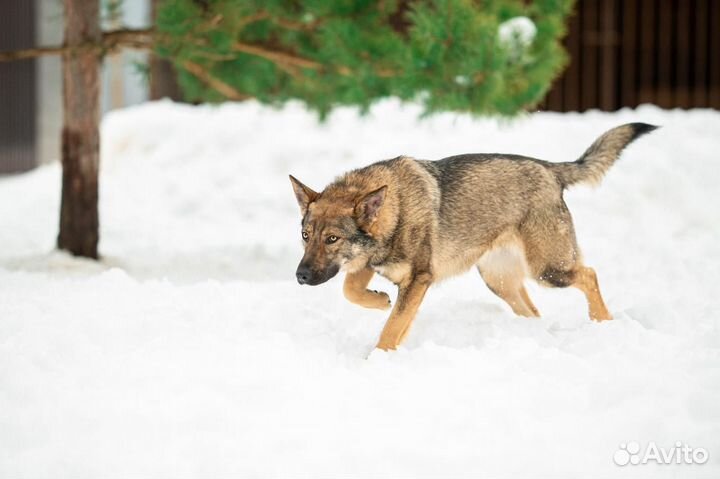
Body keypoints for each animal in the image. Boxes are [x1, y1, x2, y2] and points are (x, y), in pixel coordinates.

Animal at [290, 123, 656, 352]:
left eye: (332, 239)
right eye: (306, 236)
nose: (300, 276)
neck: (397, 208)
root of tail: (550, 169)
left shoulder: (419, 279)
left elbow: (391, 329)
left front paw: (376, 360)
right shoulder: (372, 265)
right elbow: (351, 290)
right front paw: (380, 300)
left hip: (549, 271)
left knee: (589, 275)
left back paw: (602, 323)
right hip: (499, 281)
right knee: (534, 311)